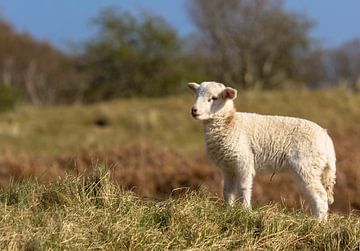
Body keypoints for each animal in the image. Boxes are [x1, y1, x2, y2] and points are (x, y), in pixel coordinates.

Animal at [187, 81, 336, 219]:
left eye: (213, 98)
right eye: (196, 95)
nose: (194, 110)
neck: (230, 123)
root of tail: (327, 141)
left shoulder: (244, 161)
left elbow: (244, 188)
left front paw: (246, 211)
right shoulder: (228, 167)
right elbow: (228, 191)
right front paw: (228, 211)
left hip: (307, 165)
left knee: (321, 196)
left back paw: (318, 222)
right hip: (313, 168)